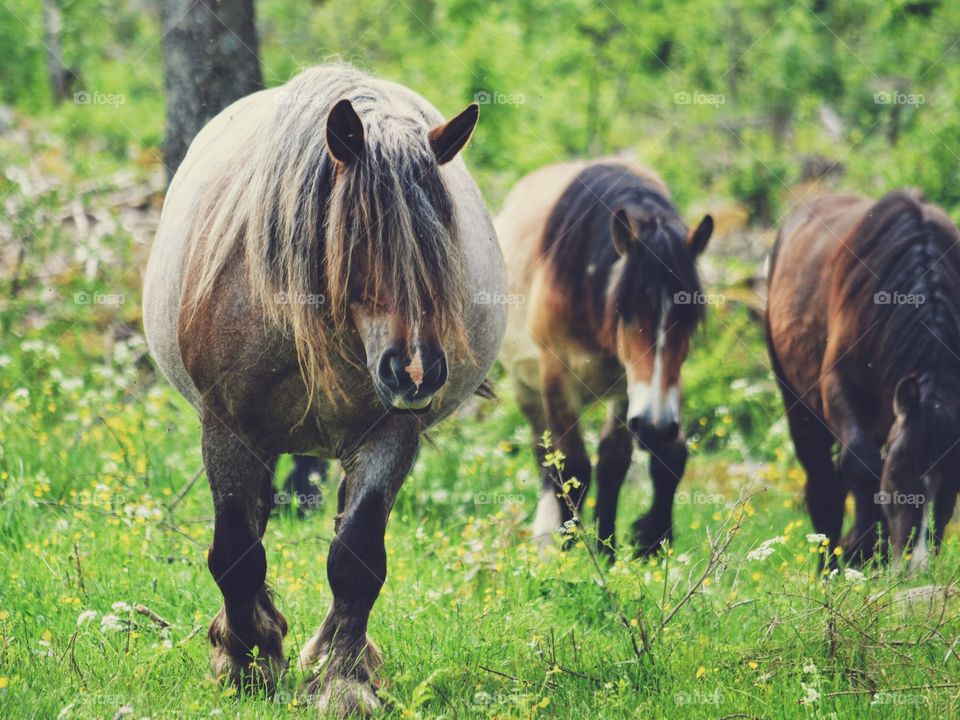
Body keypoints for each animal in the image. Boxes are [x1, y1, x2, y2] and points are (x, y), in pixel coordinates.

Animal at [141, 66, 510, 716]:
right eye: (358, 233)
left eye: (442, 241)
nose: (416, 372)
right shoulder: (228, 428)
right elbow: (236, 552)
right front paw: (247, 662)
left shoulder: (391, 433)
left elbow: (356, 559)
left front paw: (341, 680)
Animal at [496, 160, 712, 560]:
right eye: (626, 312)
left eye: (689, 318)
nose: (656, 426)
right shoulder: (557, 375)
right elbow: (572, 468)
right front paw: (565, 552)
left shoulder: (632, 388)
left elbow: (623, 463)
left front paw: (621, 549)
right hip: (526, 388)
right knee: (545, 458)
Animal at [768, 190, 960, 568]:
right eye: (897, 475)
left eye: (953, 484)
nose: (918, 565)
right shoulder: (839, 386)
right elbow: (860, 463)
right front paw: (861, 547)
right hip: (796, 402)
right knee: (823, 482)